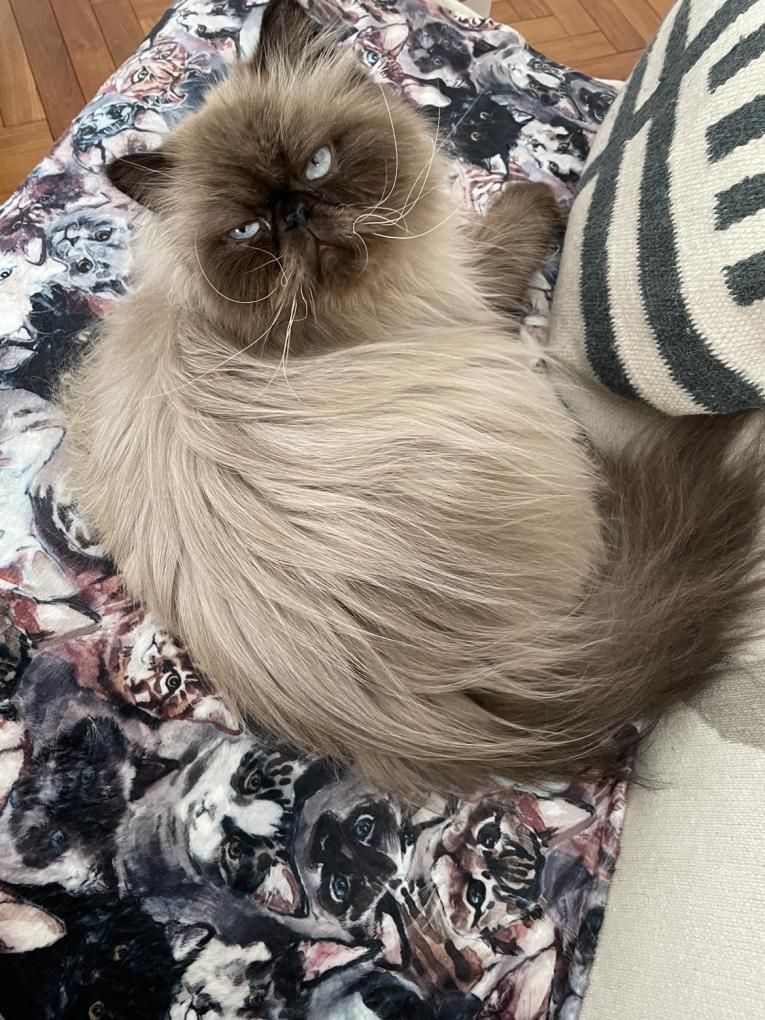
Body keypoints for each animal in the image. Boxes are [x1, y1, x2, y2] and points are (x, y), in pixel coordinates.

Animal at [63, 0, 765, 803]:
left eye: (317, 165)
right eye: (247, 229)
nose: (296, 213)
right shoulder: (466, 287)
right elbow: (508, 228)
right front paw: (540, 198)